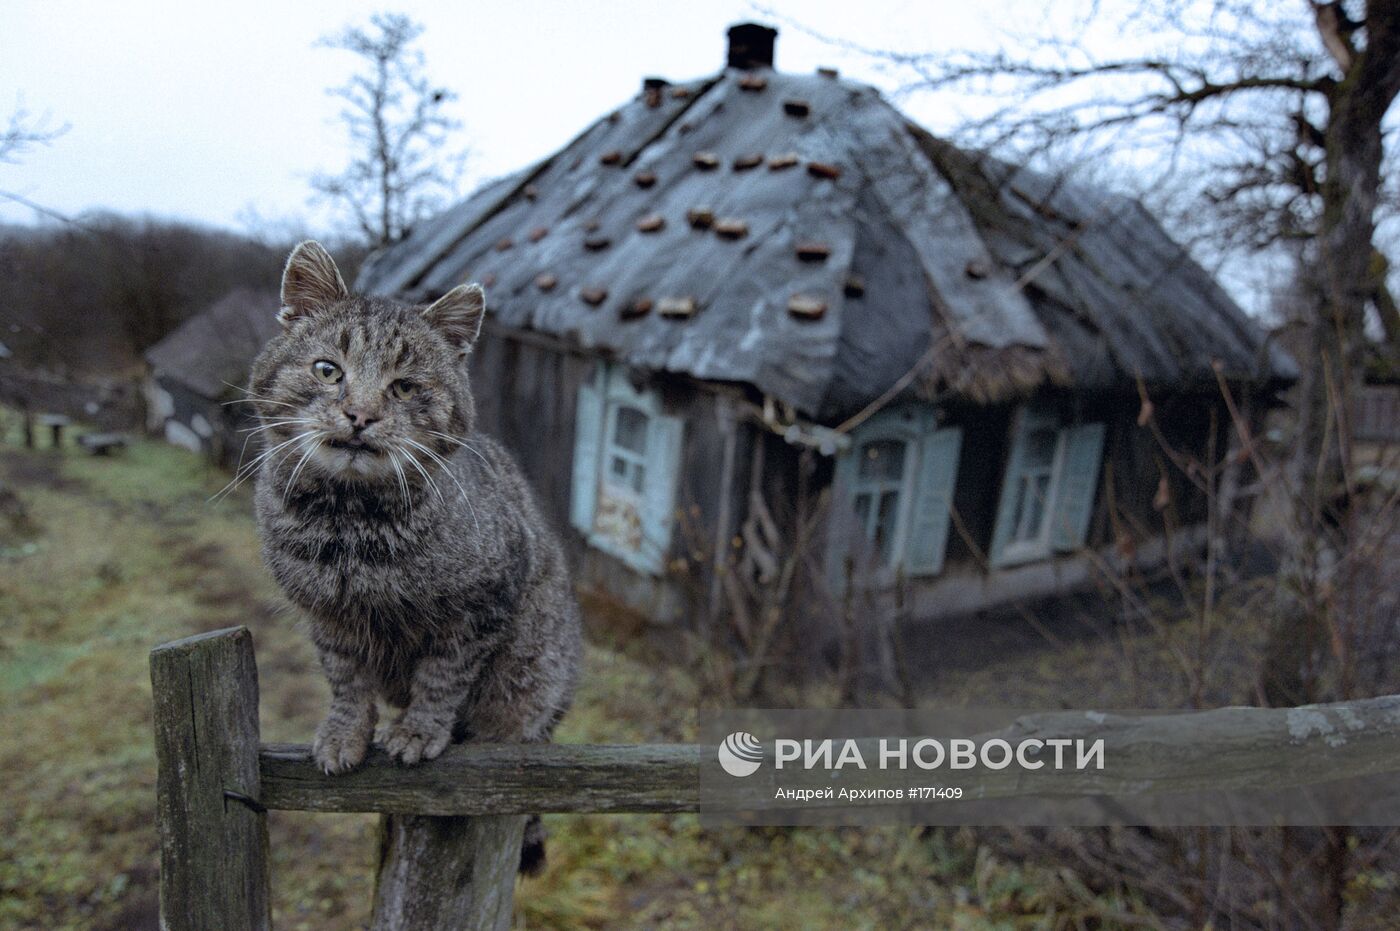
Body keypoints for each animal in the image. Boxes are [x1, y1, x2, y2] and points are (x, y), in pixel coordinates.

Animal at [249, 239, 582, 873]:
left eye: (404, 387)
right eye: (328, 370)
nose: (360, 415)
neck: (350, 524)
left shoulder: (480, 608)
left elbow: (442, 677)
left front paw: (418, 731)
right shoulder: (328, 621)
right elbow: (347, 683)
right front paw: (345, 734)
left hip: (532, 686)